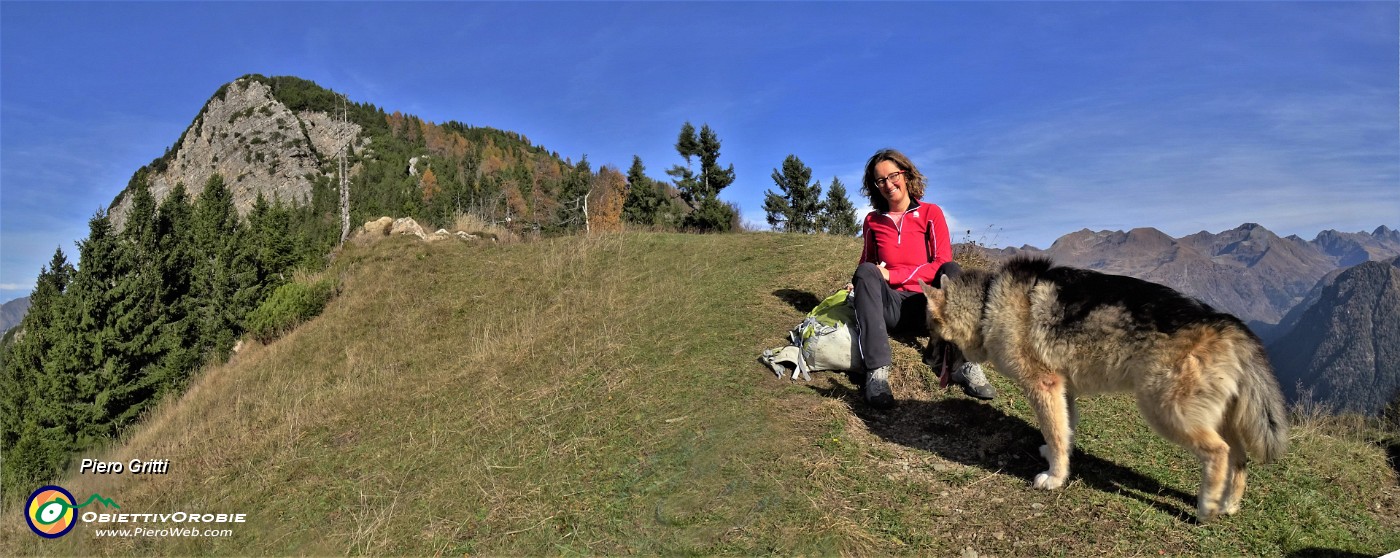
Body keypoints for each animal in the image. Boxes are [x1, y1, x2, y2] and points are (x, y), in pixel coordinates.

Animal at [924, 255, 1282, 523]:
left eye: (931, 328)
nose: (925, 358)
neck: (989, 304)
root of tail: (1229, 324)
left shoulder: (1044, 386)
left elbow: (1055, 432)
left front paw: (1054, 478)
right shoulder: (1063, 390)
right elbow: (1063, 432)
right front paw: (1059, 461)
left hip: (1166, 412)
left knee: (1219, 452)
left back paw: (1207, 507)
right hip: (1217, 418)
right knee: (1239, 457)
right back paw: (1229, 504)